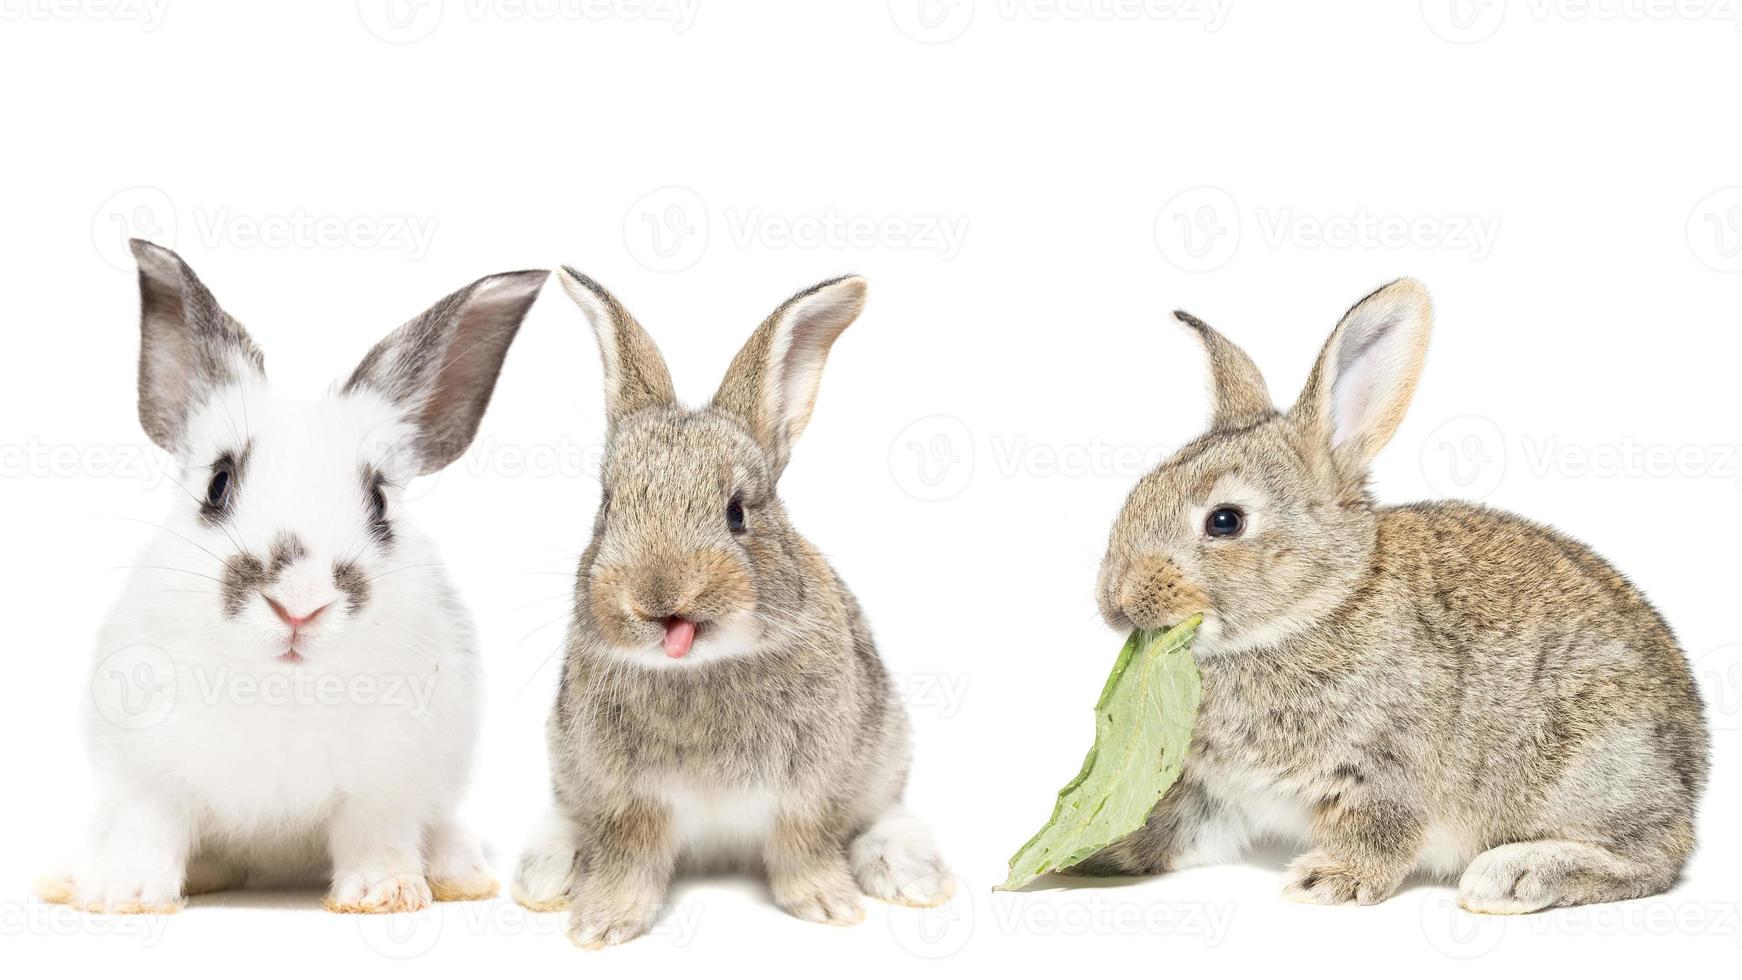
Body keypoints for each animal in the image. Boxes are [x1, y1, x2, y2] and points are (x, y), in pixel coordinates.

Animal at [40, 241, 546, 919]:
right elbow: (147, 829)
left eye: (380, 501)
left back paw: (459, 876)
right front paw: (125, 896)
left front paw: (384, 893)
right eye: (218, 483)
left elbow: (375, 833)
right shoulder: (147, 773)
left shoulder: (388, 779)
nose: (300, 603)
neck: (282, 689)